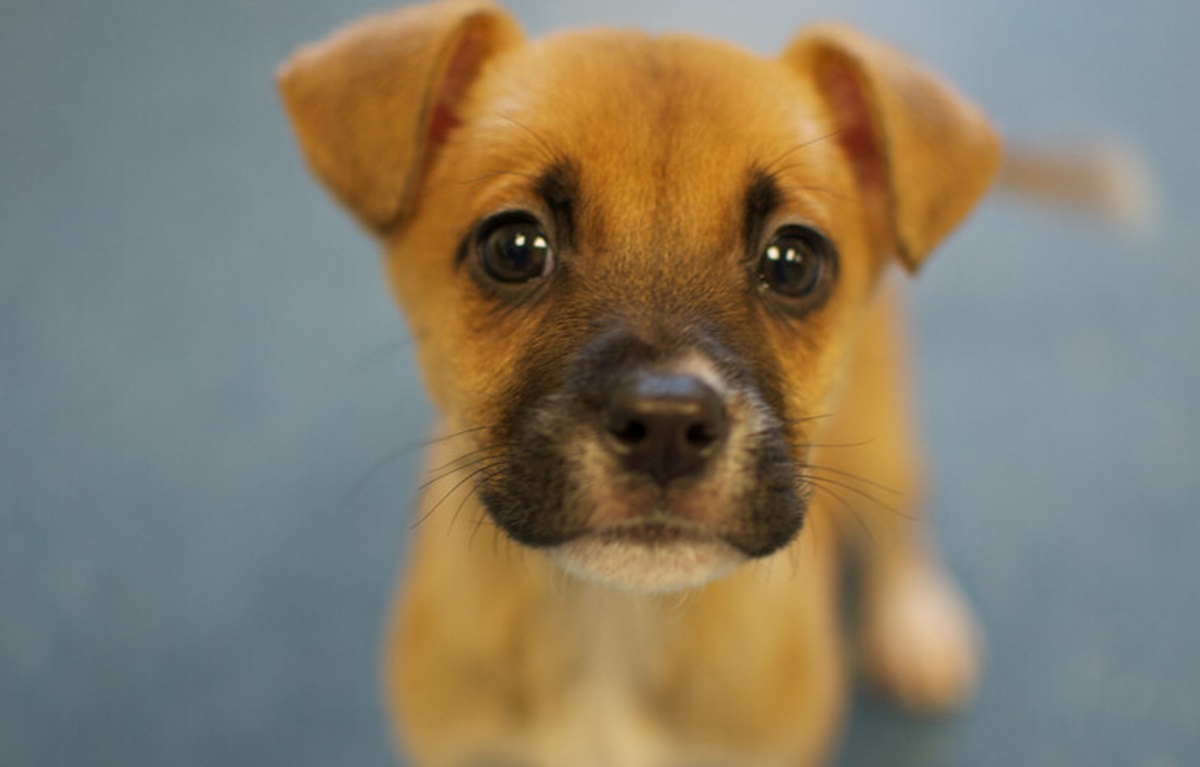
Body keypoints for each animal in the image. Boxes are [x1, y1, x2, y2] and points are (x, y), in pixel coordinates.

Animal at [278, 3, 1070, 763]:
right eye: (515, 247)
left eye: (792, 261)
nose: (665, 424)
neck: (610, 628)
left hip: (882, 429)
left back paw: (913, 623)